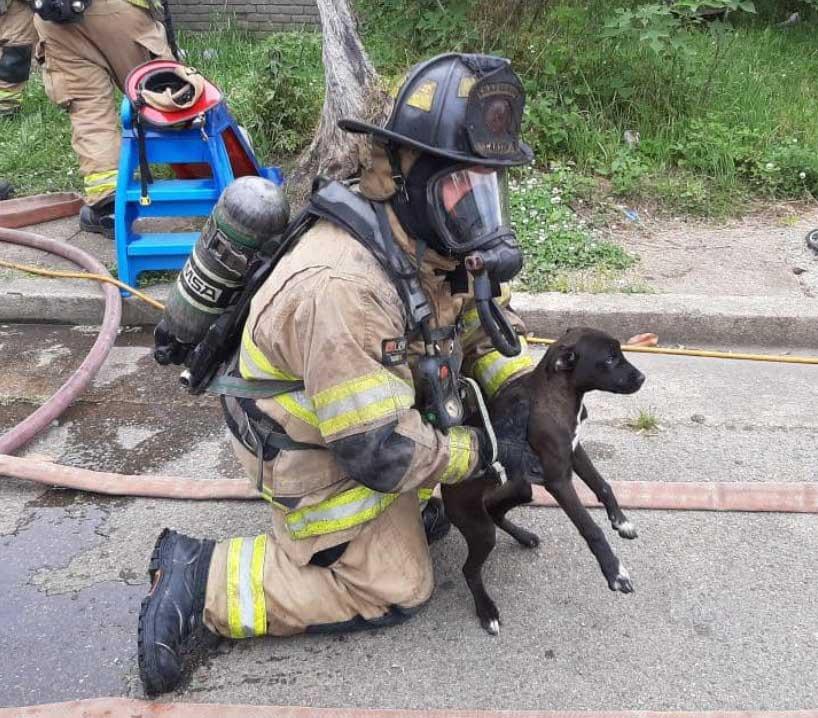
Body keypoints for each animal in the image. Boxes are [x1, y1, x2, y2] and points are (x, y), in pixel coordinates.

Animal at [440, 328, 644, 636]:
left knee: (496, 512)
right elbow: (591, 528)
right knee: (470, 569)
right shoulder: (558, 481)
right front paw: (614, 570)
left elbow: (603, 485)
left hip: (521, 490)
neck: (559, 394)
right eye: (610, 358)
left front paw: (620, 520)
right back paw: (487, 610)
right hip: (479, 527)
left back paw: (524, 536)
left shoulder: (574, 451)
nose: (642, 378)